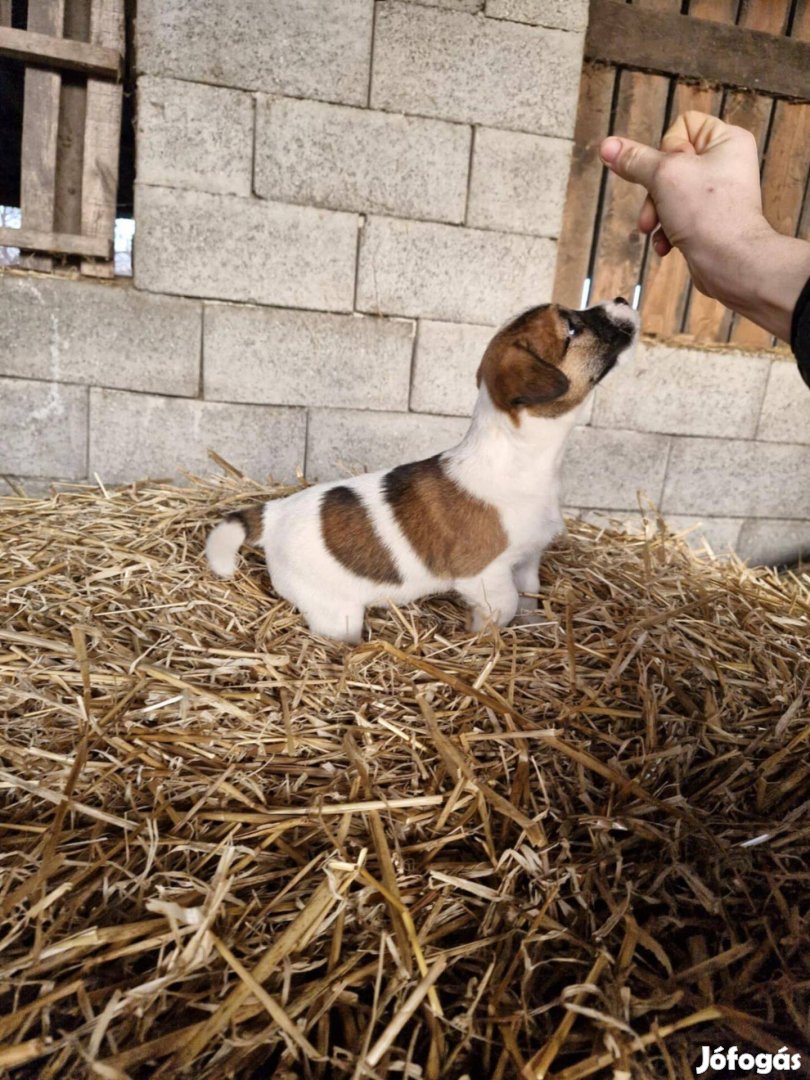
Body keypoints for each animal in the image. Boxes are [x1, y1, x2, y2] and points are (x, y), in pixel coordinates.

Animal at [207, 298, 639, 639]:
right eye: (572, 327)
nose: (622, 298)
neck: (518, 457)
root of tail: (273, 513)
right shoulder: (483, 575)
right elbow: (505, 604)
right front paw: (480, 638)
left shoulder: (527, 559)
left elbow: (528, 597)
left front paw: (532, 630)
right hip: (337, 613)